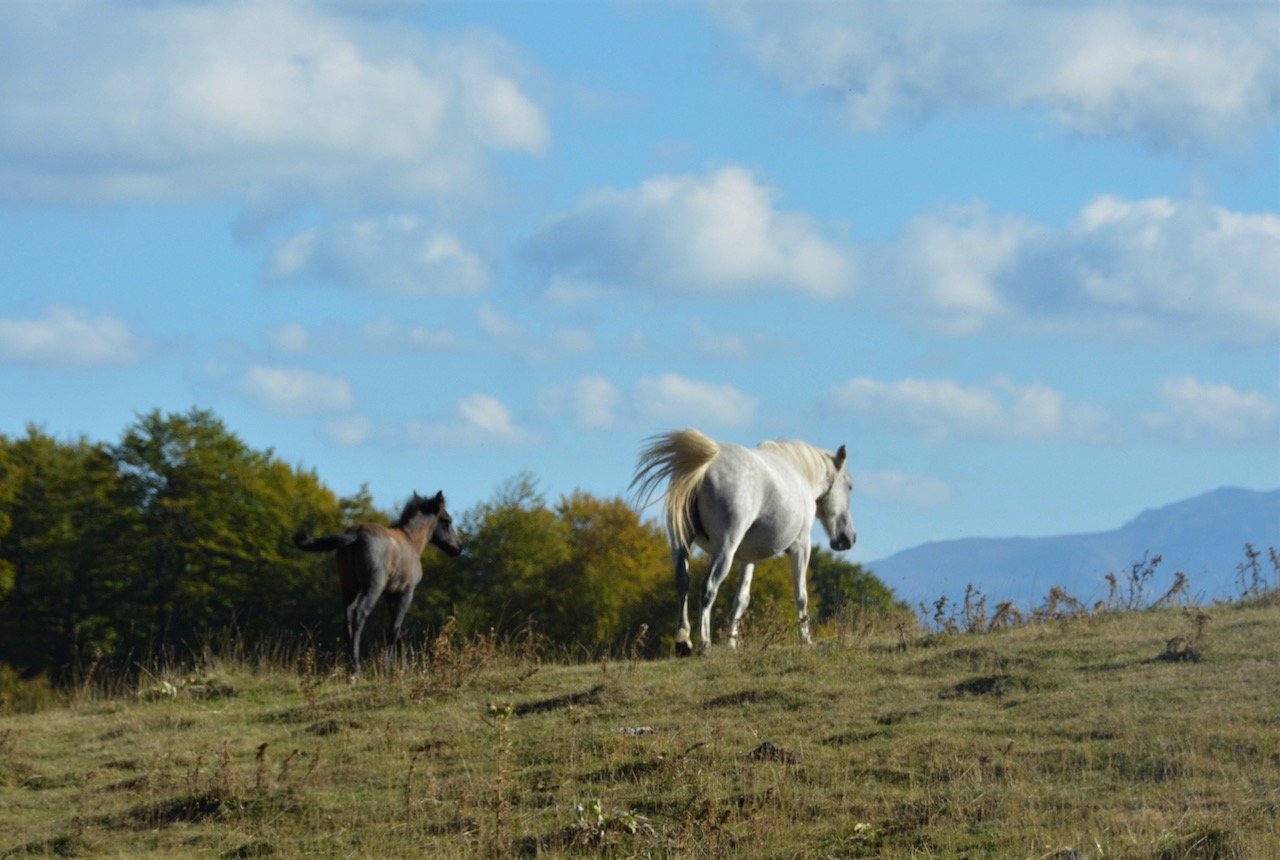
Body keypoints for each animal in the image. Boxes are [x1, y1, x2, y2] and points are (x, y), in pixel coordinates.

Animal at [632, 427, 860, 655]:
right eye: (849, 486)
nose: (848, 539)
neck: (800, 473)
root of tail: (704, 466)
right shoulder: (801, 546)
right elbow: (801, 595)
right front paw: (806, 639)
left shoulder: (748, 558)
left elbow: (741, 600)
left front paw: (732, 643)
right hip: (725, 550)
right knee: (708, 588)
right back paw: (704, 643)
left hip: (680, 545)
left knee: (682, 583)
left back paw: (683, 640)